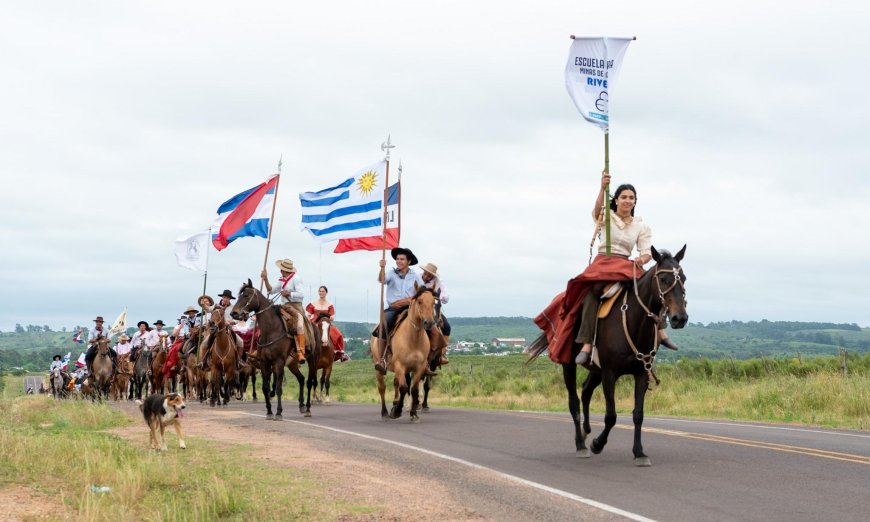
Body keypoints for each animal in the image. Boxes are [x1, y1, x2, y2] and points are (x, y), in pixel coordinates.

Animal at [232, 276, 324, 418]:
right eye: (239, 295)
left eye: (246, 295)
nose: (234, 313)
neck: (271, 330)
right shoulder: (264, 363)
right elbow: (265, 388)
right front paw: (269, 412)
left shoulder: (279, 362)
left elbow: (279, 388)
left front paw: (279, 412)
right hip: (292, 364)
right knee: (302, 379)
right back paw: (301, 406)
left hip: (312, 360)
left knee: (310, 382)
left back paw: (308, 409)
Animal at [370, 282, 440, 420]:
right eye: (419, 301)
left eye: (433, 302)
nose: (429, 323)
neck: (413, 337)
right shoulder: (400, 366)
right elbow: (404, 388)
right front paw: (396, 411)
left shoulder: (419, 367)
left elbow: (413, 390)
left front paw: (413, 414)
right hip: (379, 368)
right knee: (382, 388)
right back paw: (385, 412)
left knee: (397, 384)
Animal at [528, 246, 692, 466]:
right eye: (663, 279)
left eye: (683, 278)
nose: (679, 318)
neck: (634, 322)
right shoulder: (609, 373)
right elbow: (611, 416)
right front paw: (597, 444)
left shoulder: (641, 373)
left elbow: (638, 414)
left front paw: (639, 452)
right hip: (570, 364)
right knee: (574, 402)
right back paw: (581, 444)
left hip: (596, 370)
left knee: (586, 391)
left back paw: (586, 431)